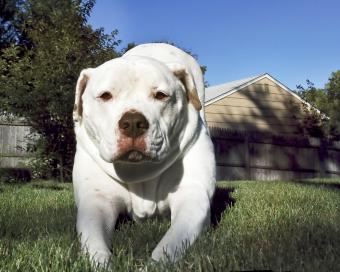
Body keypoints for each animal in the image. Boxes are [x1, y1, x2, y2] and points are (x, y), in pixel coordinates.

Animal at [72, 43, 215, 266]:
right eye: (105, 95)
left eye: (161, 95)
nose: (132, 122)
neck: (139, 169)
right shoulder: (96, 202)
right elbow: (94, 243)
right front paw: (103, 263)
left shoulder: (193, 197)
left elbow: (171, 243)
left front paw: (156, 264)